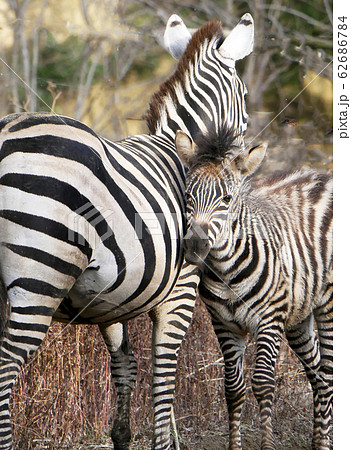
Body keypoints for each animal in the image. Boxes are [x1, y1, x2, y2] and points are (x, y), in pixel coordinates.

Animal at [0, 12, 256, 448]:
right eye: (244, 95)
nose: (238, 161)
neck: (176, 145)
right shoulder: (180, 292)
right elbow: (163, 375)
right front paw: (163, 441)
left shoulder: (110, 301)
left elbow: (126, 368)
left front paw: (123, 434)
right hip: (41, 276)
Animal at [177, 127, 334, 450]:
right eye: (188, 196)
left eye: (226, 198)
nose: (195, 248)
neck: (227, 272)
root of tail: (325, 177)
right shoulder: (224, 324)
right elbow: (233, 388)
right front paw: (234, 445)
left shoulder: (269, 320)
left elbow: (262, 384)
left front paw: (267, 444)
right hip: (299, 316)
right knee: (317, 374)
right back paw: (318, 439)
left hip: (329, 303)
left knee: (328, 373)